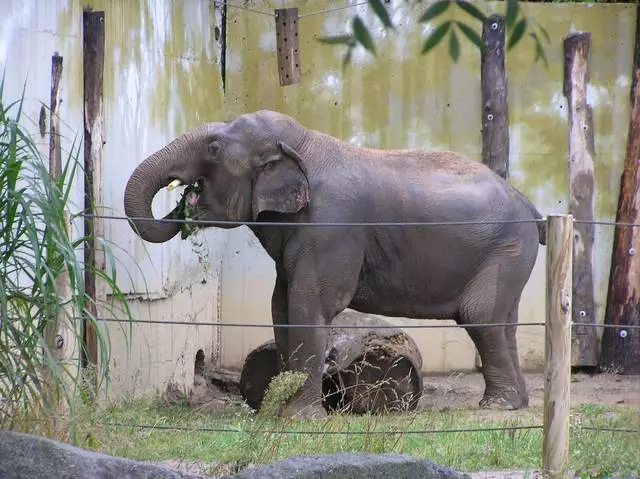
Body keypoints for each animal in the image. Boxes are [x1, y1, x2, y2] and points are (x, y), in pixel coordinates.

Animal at [124, 109, 544, 420]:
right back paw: (515, 403)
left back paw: (497, 407)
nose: (183, 202)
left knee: (481, 316)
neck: (304, 144)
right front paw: (277, 409)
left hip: (506, 250)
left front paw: (298, 417)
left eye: (213, 147)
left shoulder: (332, 227)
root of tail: (529, 205)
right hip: (512, 256)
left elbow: (311, 306)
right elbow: (281, 308)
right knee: (503, 322)